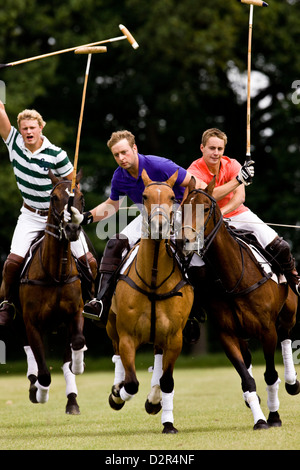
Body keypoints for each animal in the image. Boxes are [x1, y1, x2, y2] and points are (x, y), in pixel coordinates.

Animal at [18, 171, 88, 414]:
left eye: (81, 198)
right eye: (54, 197)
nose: (72, 229)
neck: (56, 274)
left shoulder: (75, 313)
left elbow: (77, 343)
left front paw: (79, 364)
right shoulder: (31, 322)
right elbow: (44, 373)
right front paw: (40, 393)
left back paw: (73, 400)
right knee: (30, 352)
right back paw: (33, 386)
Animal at [106, 171, 193, 436]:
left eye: (172, 196)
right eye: (145, 196)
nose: (160, 225)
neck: (154, 280)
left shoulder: (175, 337)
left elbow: (167, 380)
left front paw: (166, 420)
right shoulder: (127, 336)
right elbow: (132, 383)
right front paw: (118, 395)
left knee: (158, 359)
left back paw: (154, 398)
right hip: (111, 325)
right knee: (117, 354)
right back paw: (118, 389)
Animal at [179, 176, 298, 430]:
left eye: (206, 208)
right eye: (182, 208)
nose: (185, 240)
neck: (234, 278)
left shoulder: (267, 331)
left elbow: (270, 375)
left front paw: (274, 417)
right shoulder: (227, 334)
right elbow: (247, 380)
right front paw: (260, 419)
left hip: (288, 311)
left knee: (286, 335)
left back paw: (292, 382)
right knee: (249, 359)